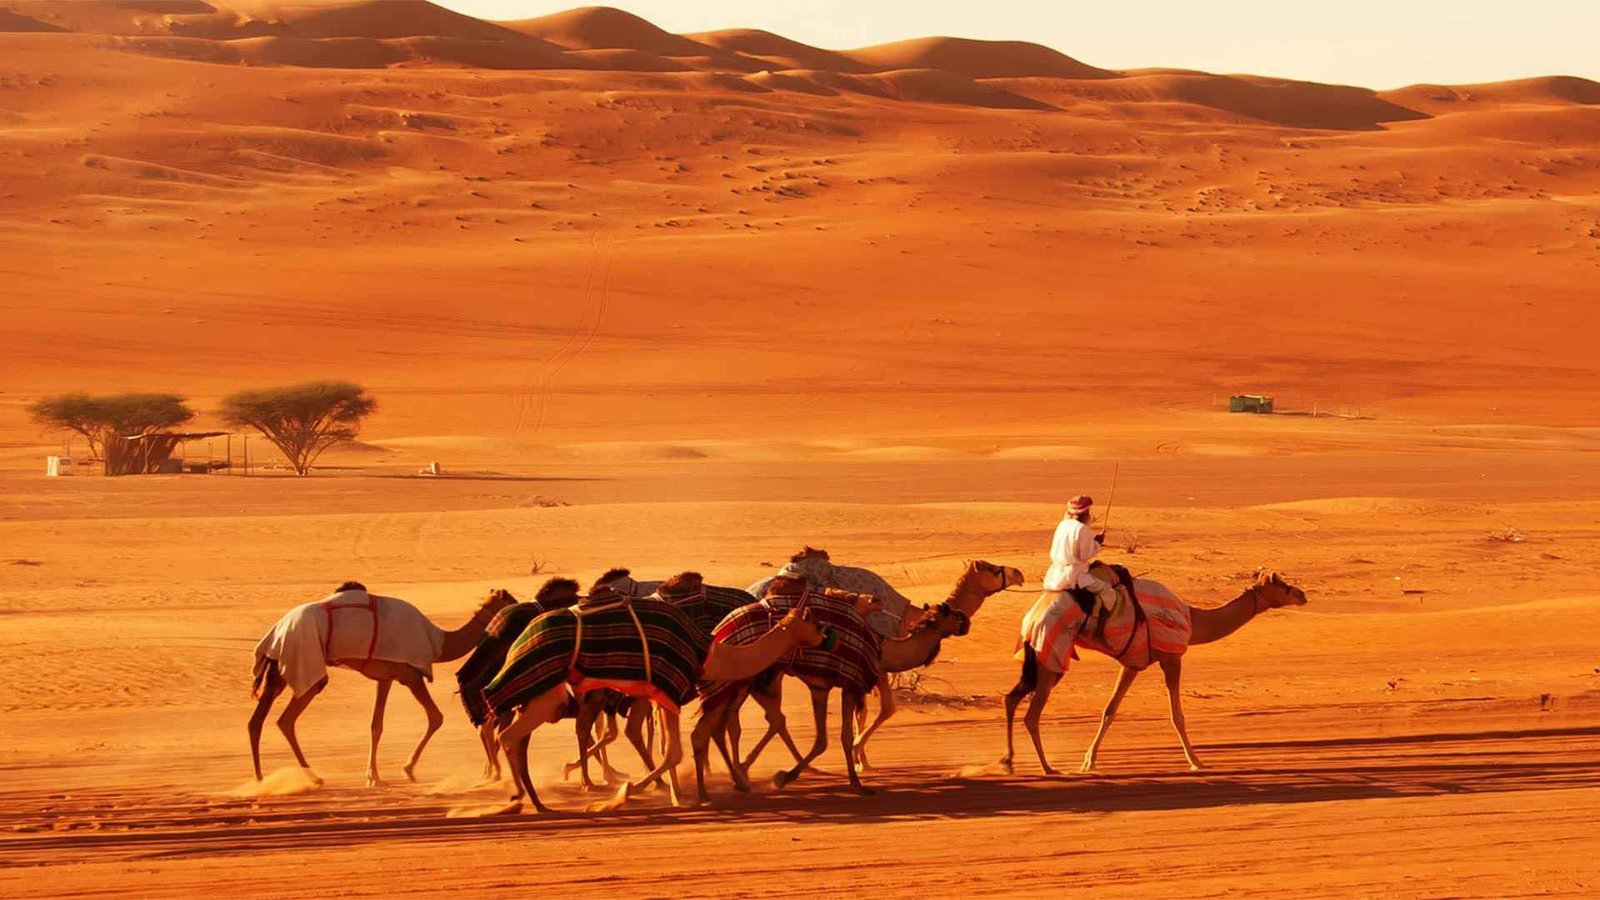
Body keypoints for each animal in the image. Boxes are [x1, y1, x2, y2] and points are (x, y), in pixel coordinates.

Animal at [248, 582, 512, 784]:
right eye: (508, 599)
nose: (522, 603)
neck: (441, 642)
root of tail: (276, 630)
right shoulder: (410, 674)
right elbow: (436, 717)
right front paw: (408, 769)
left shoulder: (385, 677)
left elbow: (376, 725)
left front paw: (373, 776)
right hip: (303, 662)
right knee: (287, 718)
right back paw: (309, 777)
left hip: (279, 668)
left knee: (259, 720)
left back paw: (262, 778)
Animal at [483, 589, 825, 813]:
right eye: (810, 621)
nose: (823, 636)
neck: (707, 654)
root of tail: (520, 639)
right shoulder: (668, 689)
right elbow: (673, 751)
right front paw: (627, 792)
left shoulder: (658, 695)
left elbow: (665, 748)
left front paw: (673, 795)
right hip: (545, 693)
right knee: (509, 736)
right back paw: (520, 799)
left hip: (542, 693)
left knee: (516, 737)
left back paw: (533, 799)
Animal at [729, 554, 1024, 771]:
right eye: (992, 569)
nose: (1019, 573)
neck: (905, 622)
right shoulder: (878, 667)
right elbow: (886, 709)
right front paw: (860, 756)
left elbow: (862, 713)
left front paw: (862, 760)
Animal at [1004, 566, 1305, 771]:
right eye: (1283, 586)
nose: (1302, 594)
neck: (1193, 619)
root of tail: (1029, 620)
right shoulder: (1171, 657)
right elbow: (1177, 715)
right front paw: (1196, 761)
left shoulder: (1132, 663)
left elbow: (1109, 710)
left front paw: (1089, 761)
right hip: (1051, 656)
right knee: (1031, 715)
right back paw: (1047, 768)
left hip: (1037, 662)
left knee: (1012, 700)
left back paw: (1011, 761)